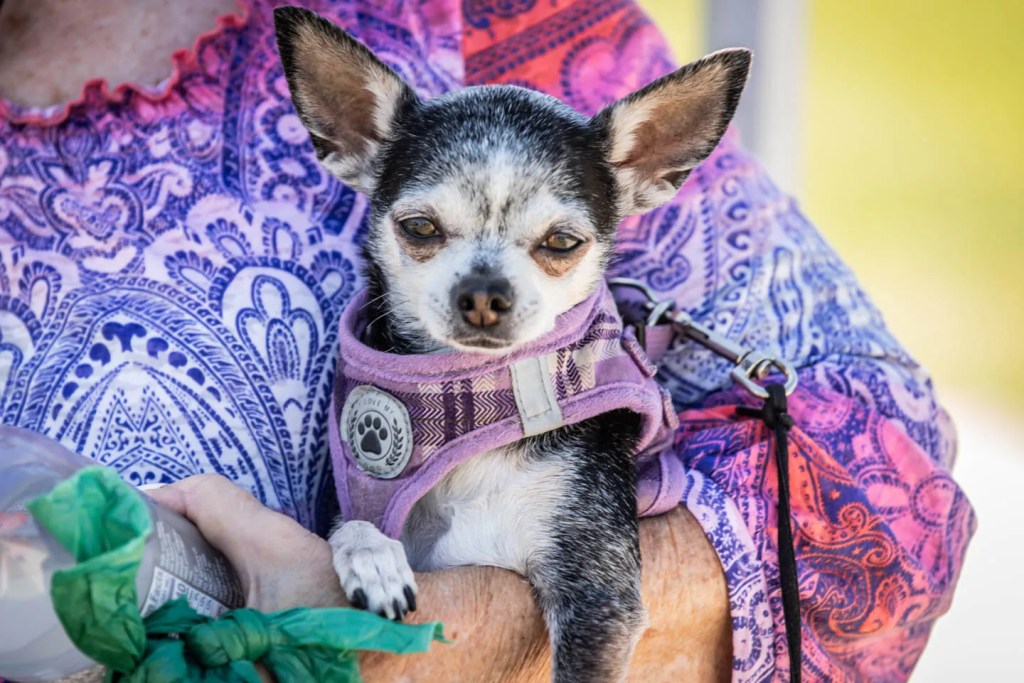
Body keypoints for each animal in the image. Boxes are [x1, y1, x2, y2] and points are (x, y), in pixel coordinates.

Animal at [274, 7, 749, 681]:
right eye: (418, 227)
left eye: (562, 242)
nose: (482, 292)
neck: (472, 399)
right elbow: (354, 525)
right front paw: (372, 556)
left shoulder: (595, 595)